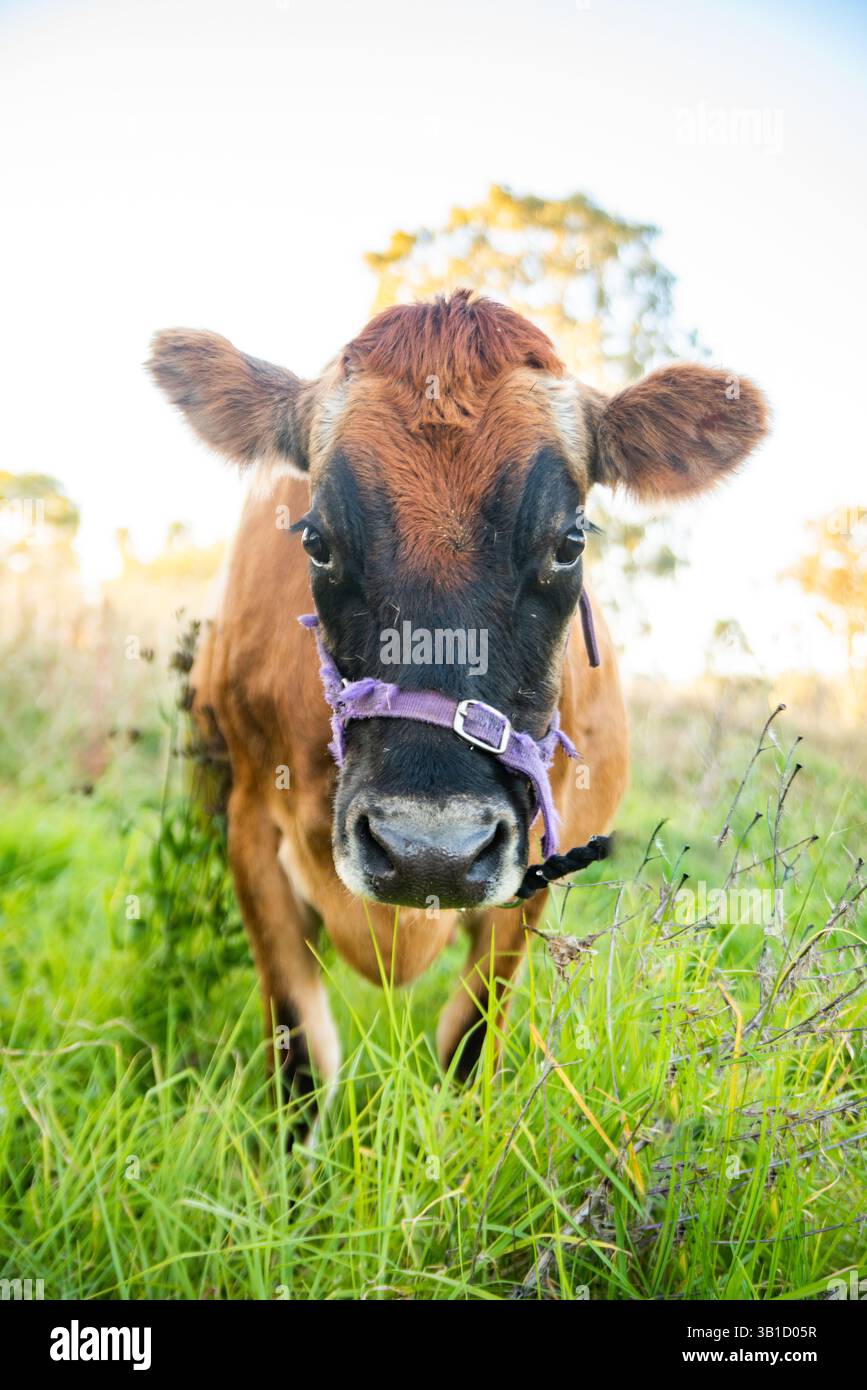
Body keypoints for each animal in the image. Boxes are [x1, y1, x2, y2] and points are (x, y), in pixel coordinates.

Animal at [148, 290, 768, 1128]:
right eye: (315, 541)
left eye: (569, 541)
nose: (427, 853)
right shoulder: (250, 827)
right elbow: (302, 1049)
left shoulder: (534, 862)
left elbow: (470, 1041)